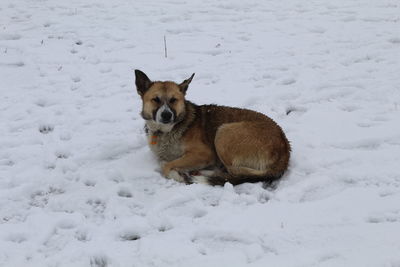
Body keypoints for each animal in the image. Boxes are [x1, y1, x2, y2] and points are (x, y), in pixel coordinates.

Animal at [135, 70, 290, 185]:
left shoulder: (204, 153)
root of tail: (285, 148)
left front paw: (179, 175)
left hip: (223, 133)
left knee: (233, 172)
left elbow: (165, 166)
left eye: (174, 100)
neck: (167, 130)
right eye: (156, 100)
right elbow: (165, 161)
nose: (166, 115)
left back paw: (202, 174)